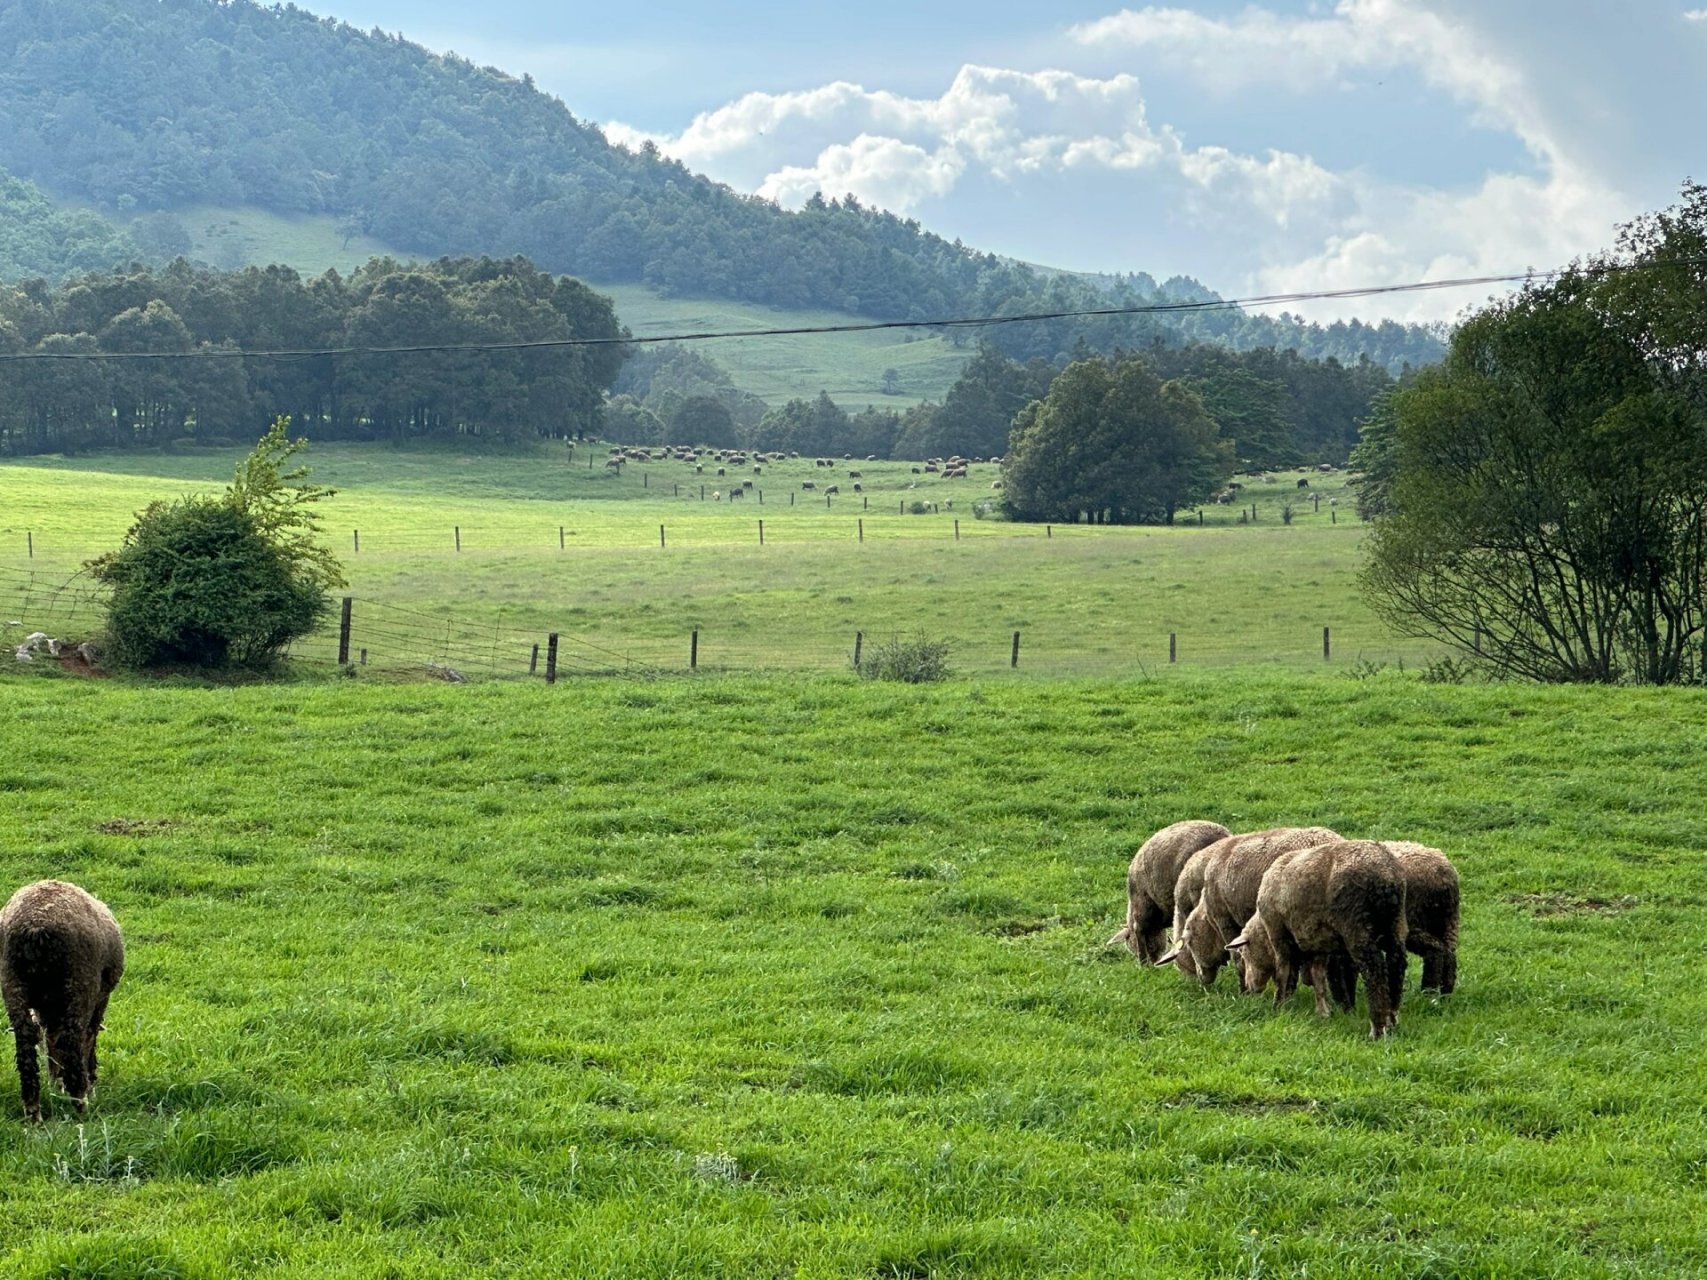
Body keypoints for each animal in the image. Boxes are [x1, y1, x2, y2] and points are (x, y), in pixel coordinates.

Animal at [0, 880, 124, 1119]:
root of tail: (36, 926)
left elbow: (50, 1040)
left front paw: (56, 1083)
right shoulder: (99, 1001)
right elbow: (89, 1039)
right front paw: (88, 1084)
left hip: (12, 980)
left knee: (27, 1039)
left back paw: (33, 1110)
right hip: (80, 981)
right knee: (73, 1038)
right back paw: (80, 1102)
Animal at [1235, 843, 1406, 1044]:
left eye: (1244, 953)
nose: (1250, 988)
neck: (1262, 925)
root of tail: (1387, 876)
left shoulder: (1278, 933)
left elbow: (1283, 971)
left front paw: (1278, 1006)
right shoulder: (1317, 942)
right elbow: (1318, 977)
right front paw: (1323, 1011)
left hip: (1357, 925)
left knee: (1374, 972)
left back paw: (1377, 1029)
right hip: (1396, 923)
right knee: (1397, 965)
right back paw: (1392, 1019)